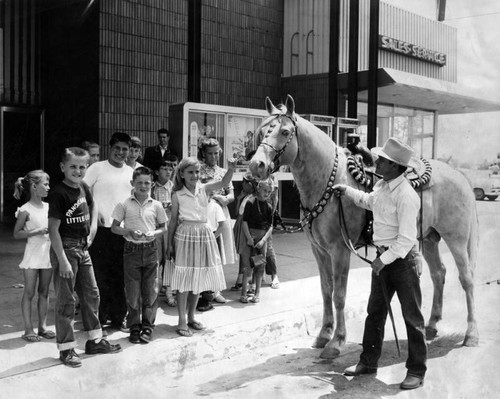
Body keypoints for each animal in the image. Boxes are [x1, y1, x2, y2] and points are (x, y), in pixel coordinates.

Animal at [248, 94, 478, 360]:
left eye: (285, 131)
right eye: (262, 130)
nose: (256, 165)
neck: (328, 179)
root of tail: (460, 176)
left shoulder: (340, 250)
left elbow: (339, 294)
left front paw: (336, 342)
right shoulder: (319, 251)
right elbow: (326, 290)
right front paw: (324, 334)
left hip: (456, 239)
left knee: (466, 278)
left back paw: (471, 334)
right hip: (430, 238)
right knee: (439, 273)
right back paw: (431, 325)